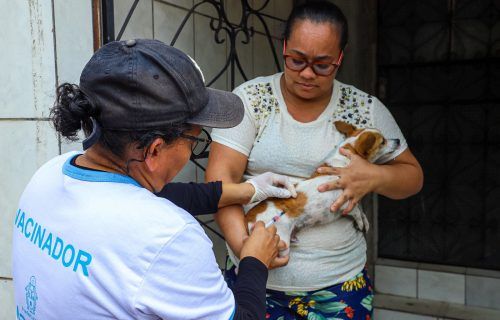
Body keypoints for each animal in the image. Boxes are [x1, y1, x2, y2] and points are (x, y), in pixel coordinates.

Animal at [244, 121, 400, 256]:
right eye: (383, 141)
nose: (398, 140)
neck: (345, 163)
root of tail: (249, 217)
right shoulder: (342, 202)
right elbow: (355, 210)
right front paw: (360, 221)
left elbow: (359, 209)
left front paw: (365, 221)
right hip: (280, 240)